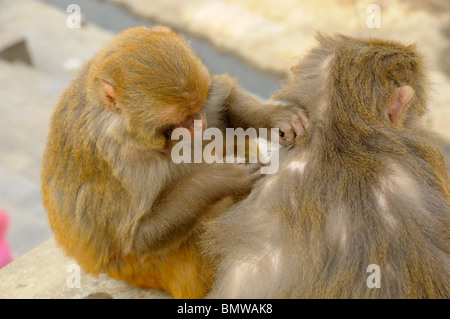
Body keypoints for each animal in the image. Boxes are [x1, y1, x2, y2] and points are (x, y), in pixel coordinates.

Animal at [41, 26, 306, 298]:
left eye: (197, 106)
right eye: (177, 119)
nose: (199, 122)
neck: (122, 128)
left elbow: (223, 102)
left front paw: (275, 117)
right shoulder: (119, 168)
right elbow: (138, 237)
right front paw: (222, 177)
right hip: (140, 271)